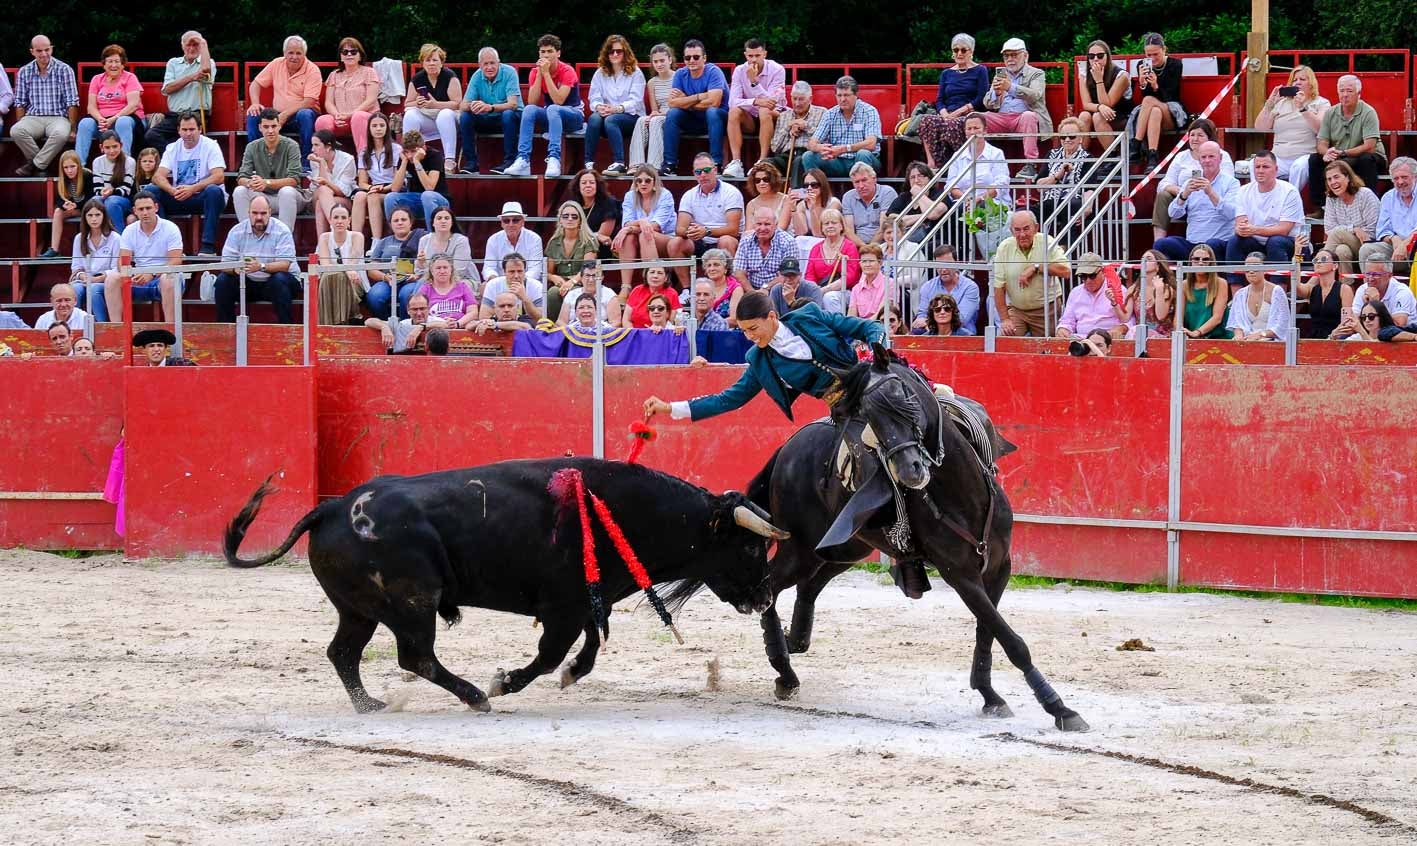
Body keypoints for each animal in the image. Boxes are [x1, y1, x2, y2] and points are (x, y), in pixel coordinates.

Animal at [221, 459, 787, 708]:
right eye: (750, 548)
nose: (764, 598)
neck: (623, 511)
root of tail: (334, 507)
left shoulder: (585, 603)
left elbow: (586, 650)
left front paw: (571, 676)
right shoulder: (563, 607)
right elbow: (551, 655)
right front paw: (505, 681)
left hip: (359, 608)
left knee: (343, 652)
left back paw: (371, 705)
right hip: (412, 601)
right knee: (415, 656)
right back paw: (475, 696)